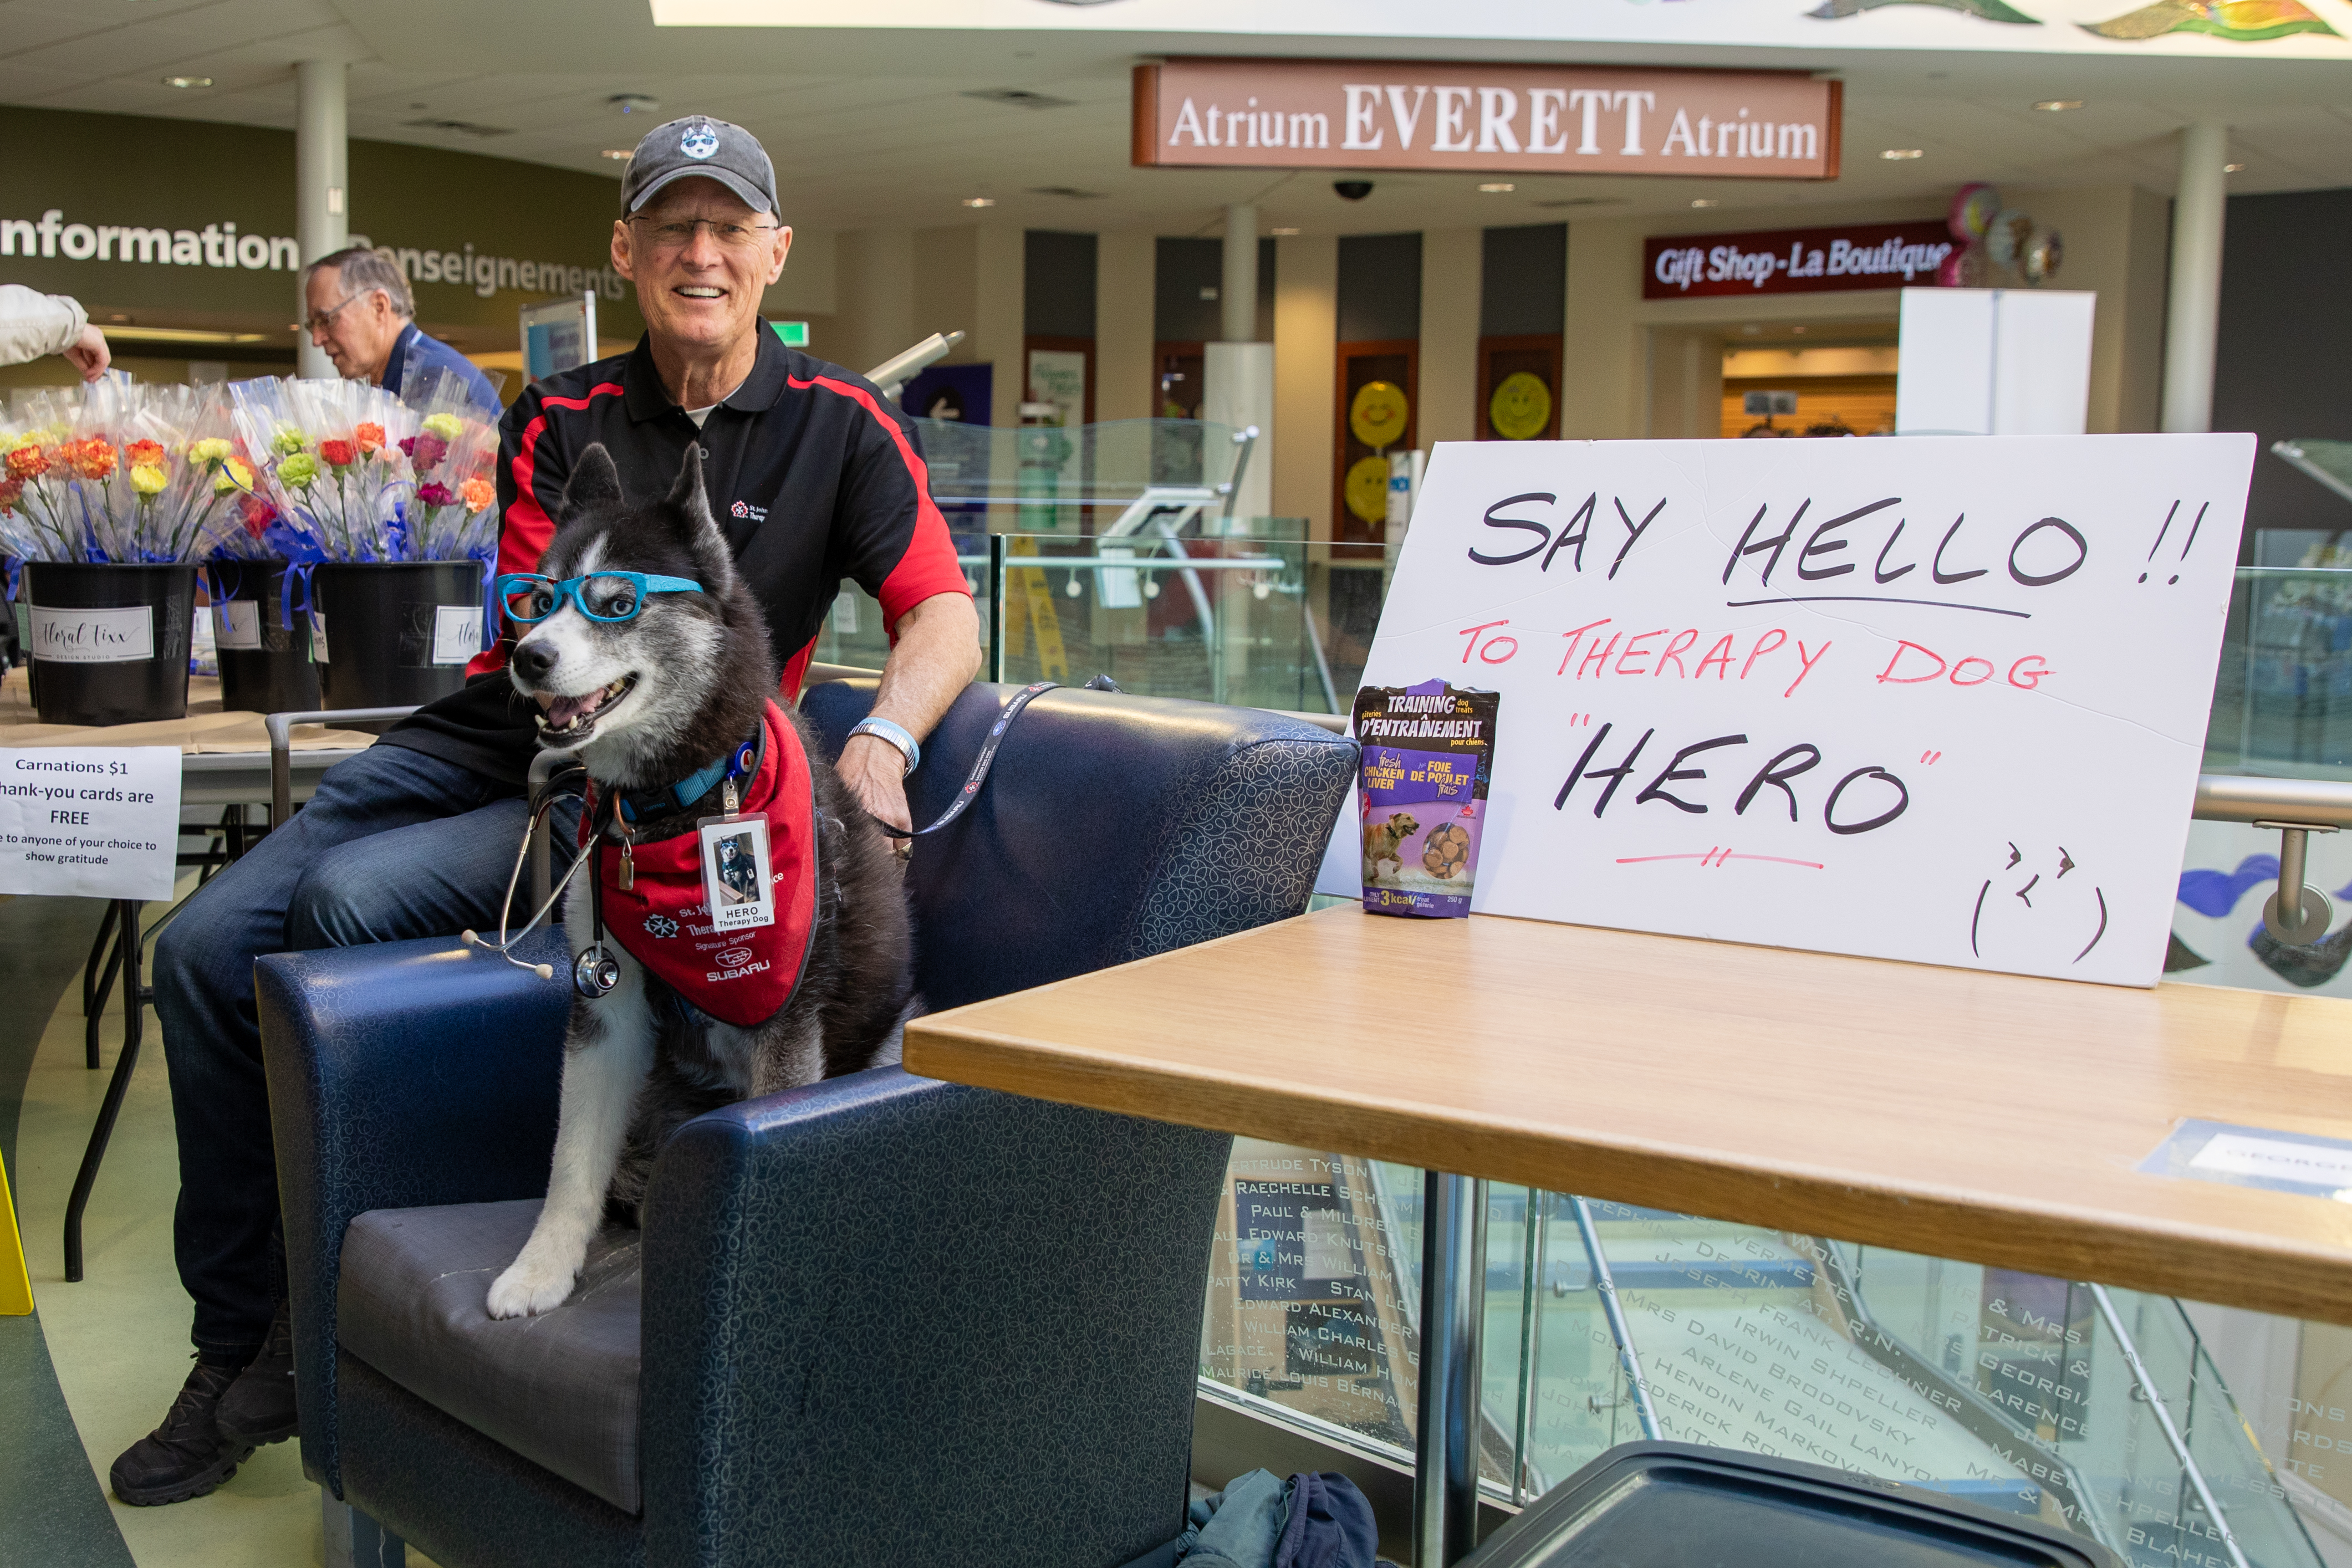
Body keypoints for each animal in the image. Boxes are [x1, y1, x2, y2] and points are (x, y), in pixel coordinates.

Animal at [487, 444, 907, 1326]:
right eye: (539, 599)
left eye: (617, 603)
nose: (528, 656)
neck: (671, 807)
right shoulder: (605, 1007)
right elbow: (571, 1163)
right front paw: (540, 1269)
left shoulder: (786, 1018)